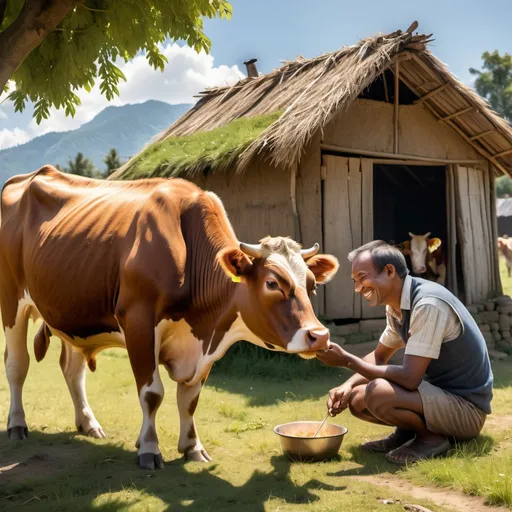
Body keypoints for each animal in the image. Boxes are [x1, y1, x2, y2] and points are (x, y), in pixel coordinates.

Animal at [1, 166, 340, 470]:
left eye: (312, 284)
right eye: (272, 283)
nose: (319, 336)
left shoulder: (203, 346)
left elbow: (189, 398)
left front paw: (192, 447)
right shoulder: (138, 321)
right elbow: (152, 394)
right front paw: (149, 449)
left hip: (73, 313)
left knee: (73, 370)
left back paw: (88, 423)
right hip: (12, 302)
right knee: (17, 364)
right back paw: (17, 425)